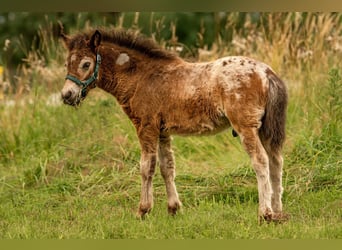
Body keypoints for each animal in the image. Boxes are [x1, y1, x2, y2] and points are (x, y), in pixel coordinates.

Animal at [59, 28, 288, 224]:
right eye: (66, 64)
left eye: (86, 64)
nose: (67, 95)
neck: (141, 77)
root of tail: (267, 73)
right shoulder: (163, 131)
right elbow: (167, 167)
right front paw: (174, 209)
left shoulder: (146, 127)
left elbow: (147, 167)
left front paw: (143, 210)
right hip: (265, 129)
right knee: (276, 161)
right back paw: (278, 212)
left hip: (246, 126)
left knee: (260, 161)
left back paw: (265, 213)